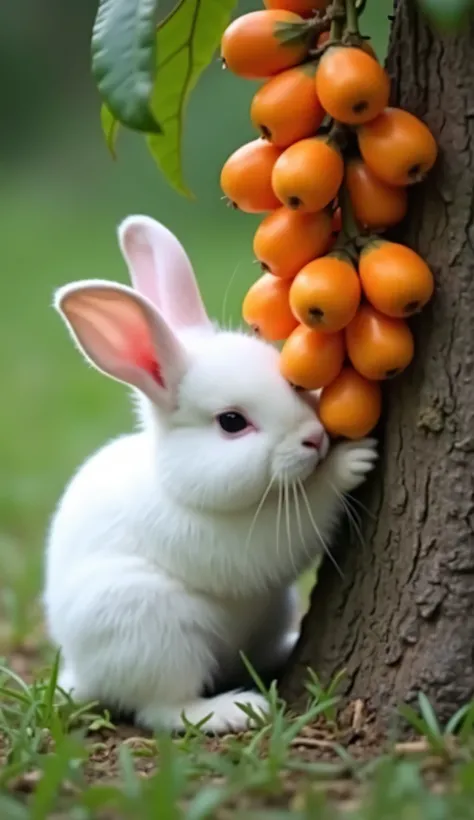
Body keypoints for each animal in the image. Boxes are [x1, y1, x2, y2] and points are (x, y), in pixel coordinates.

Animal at [44, 215, 378, 732]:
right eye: (232, 422)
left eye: (293, 381)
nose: (315, 439)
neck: (173, 484)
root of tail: (82, 675)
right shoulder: (241, 542)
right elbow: (303, 519)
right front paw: (352, 462)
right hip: (148, 629)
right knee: (162, 710)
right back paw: (236, 710)